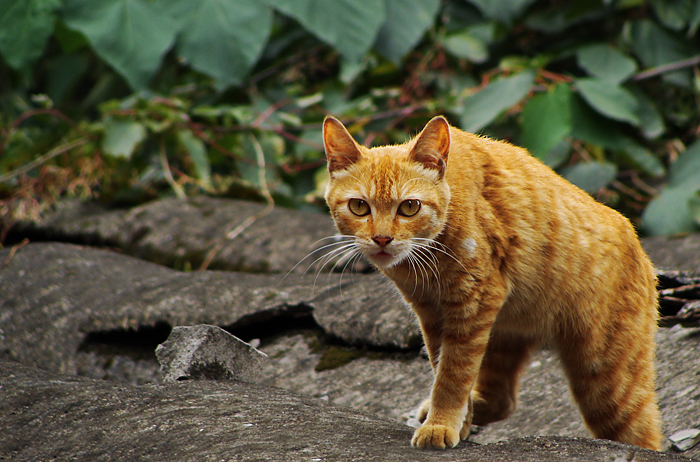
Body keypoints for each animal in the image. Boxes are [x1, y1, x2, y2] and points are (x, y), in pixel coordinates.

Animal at [322, 116, 660, 452]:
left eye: (409, 207)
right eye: (359, 207)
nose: (382, 239)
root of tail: (639, 246)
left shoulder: (472, 303)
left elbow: (452, 375)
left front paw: (440, 424)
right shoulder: (433, 315)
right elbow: (444, 367)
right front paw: (454, 421)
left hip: (604, 381)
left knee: (643, 437)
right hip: (502, 339)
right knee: (503, 401)